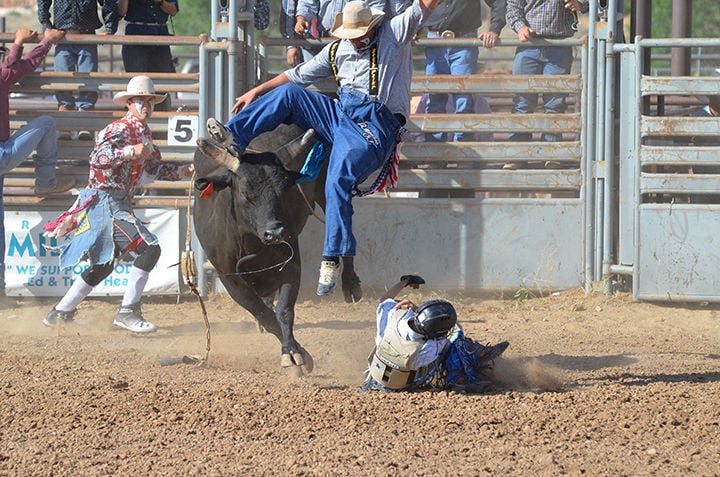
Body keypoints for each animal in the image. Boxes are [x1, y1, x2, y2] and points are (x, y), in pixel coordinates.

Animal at [193, 124, 362, 370]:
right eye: (245, 193)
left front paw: (293, 352)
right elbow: (264, 314)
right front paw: (294, 349)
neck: (252, 241)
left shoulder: (291, 265)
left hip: (326, 189)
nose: (275, 233)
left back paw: (350, 283)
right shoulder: (229, 278)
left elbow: (284, 311)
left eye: (284, 190)